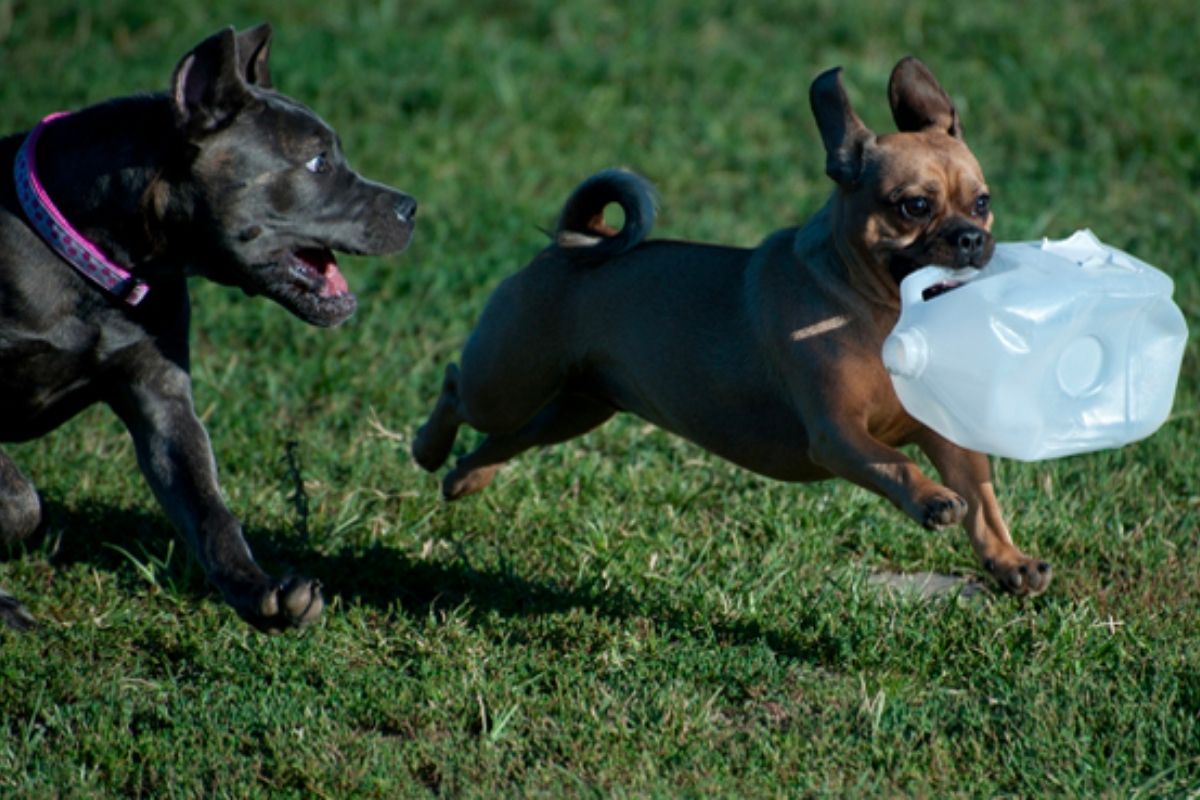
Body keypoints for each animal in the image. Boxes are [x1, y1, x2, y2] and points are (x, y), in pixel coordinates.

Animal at [1, 23, 417, 633]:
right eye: (318, 162)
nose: (412, 207)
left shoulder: (163, 403)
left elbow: (209, 510)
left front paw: (262, 592)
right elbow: (21, 499)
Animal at [412, 56, 1051, 594]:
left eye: (982, 203)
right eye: (913, 206)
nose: (970, 238)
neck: (880, 312)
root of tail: (580, 241)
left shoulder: (947, 436)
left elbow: (984, 503)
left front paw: (1009, 562)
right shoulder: (839, 435)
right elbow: (897, 463)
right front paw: (932, 499)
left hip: (576, 408)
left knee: (510, 438)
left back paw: (465, 477)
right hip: (507, 379)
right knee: (456, 386)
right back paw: (427, 447)